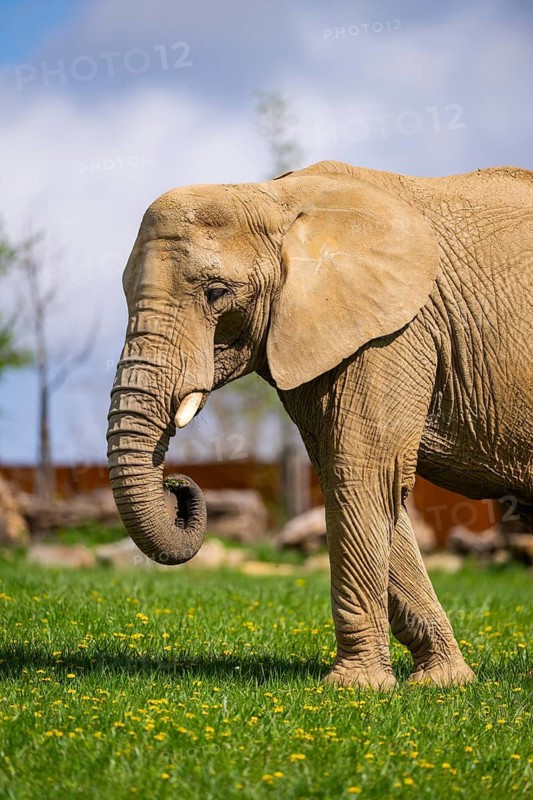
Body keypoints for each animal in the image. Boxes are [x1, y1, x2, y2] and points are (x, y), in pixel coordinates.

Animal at [107, 160, 533, 689]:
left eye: (216, 293)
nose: (179, 486)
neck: (273, 198)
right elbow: (352, 477)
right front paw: (443, 683)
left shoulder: (394, 328)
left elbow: (365, 470)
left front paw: (354, 689)